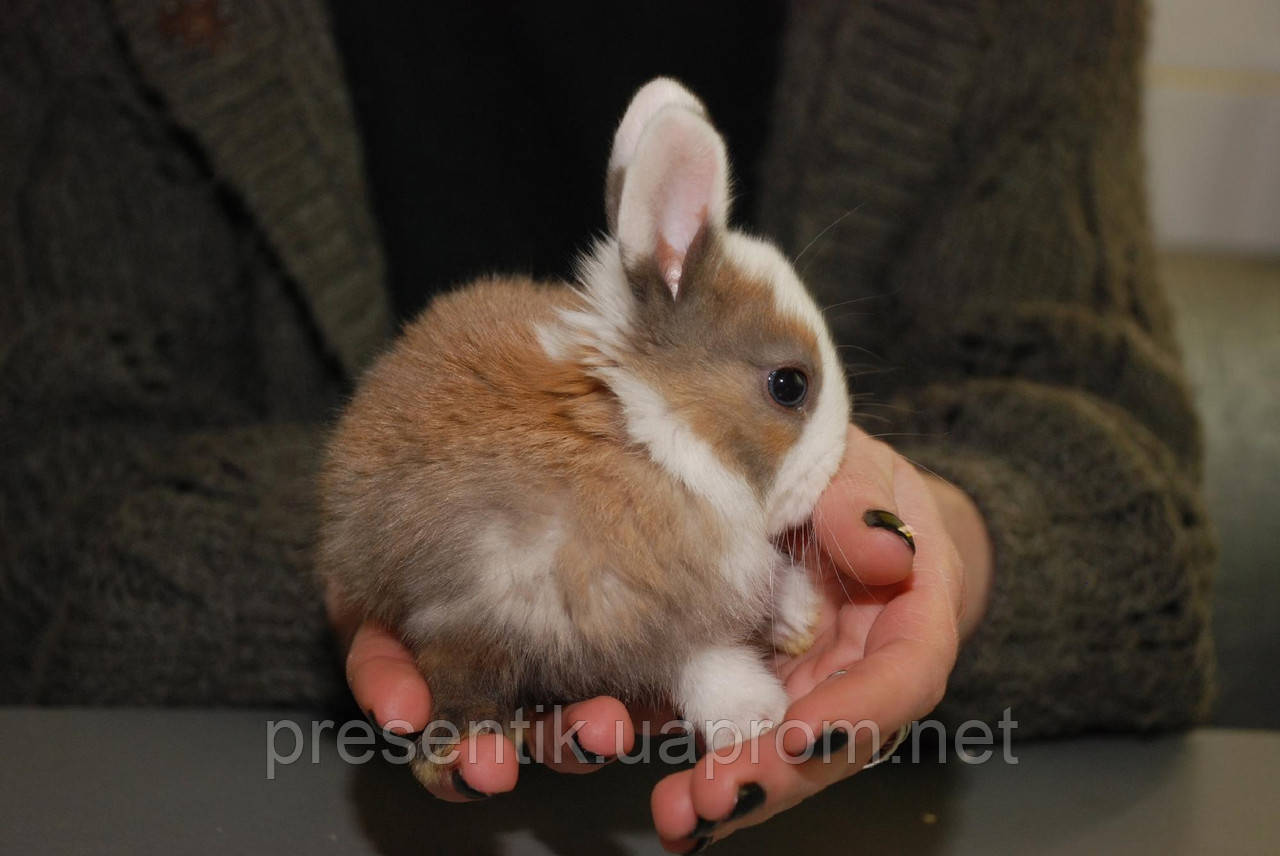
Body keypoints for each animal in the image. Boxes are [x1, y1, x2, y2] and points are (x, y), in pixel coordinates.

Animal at [318, 77, 851, 789]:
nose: (834, 469)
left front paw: (797, 619)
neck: (649, 434)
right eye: (789, 385)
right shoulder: (590, 605)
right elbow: (694, 655)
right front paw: (753, 715)